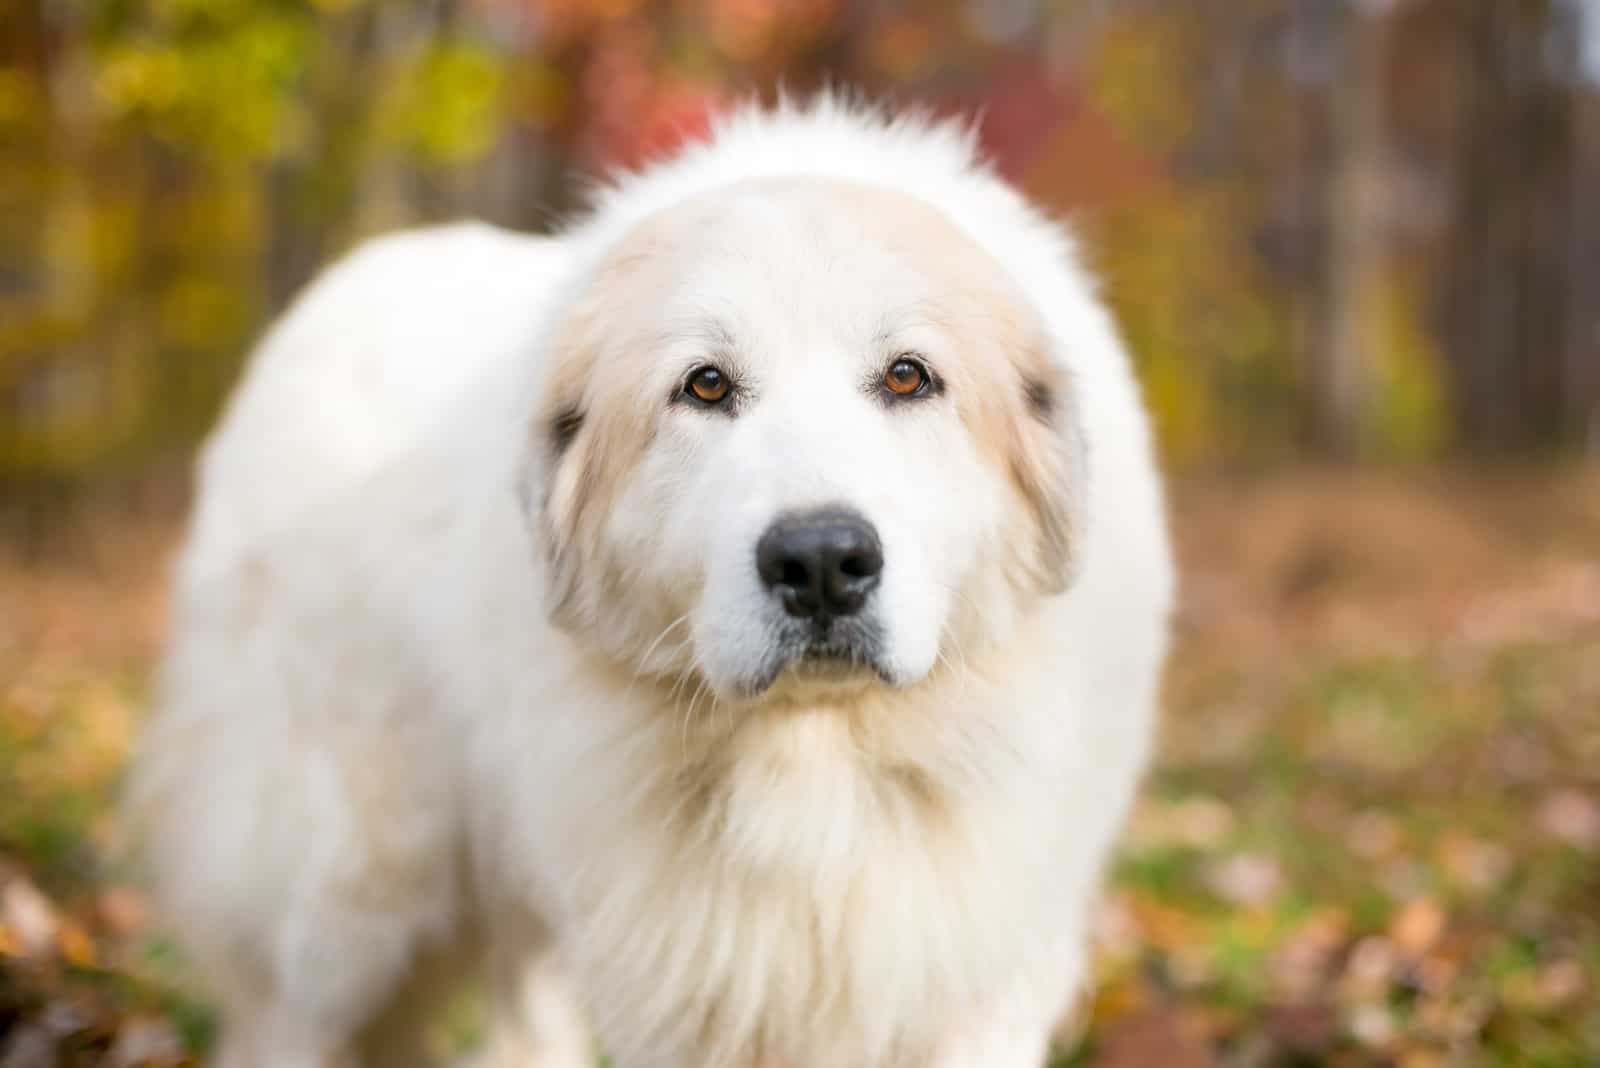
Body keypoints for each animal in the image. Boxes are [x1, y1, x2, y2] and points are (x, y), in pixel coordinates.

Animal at [128, 97, 1177, 1068]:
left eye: (909, 377)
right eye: (705, 386)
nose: (821, 562)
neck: (816, 767)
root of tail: (341, 288)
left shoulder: (976, 980)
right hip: (344, 893)